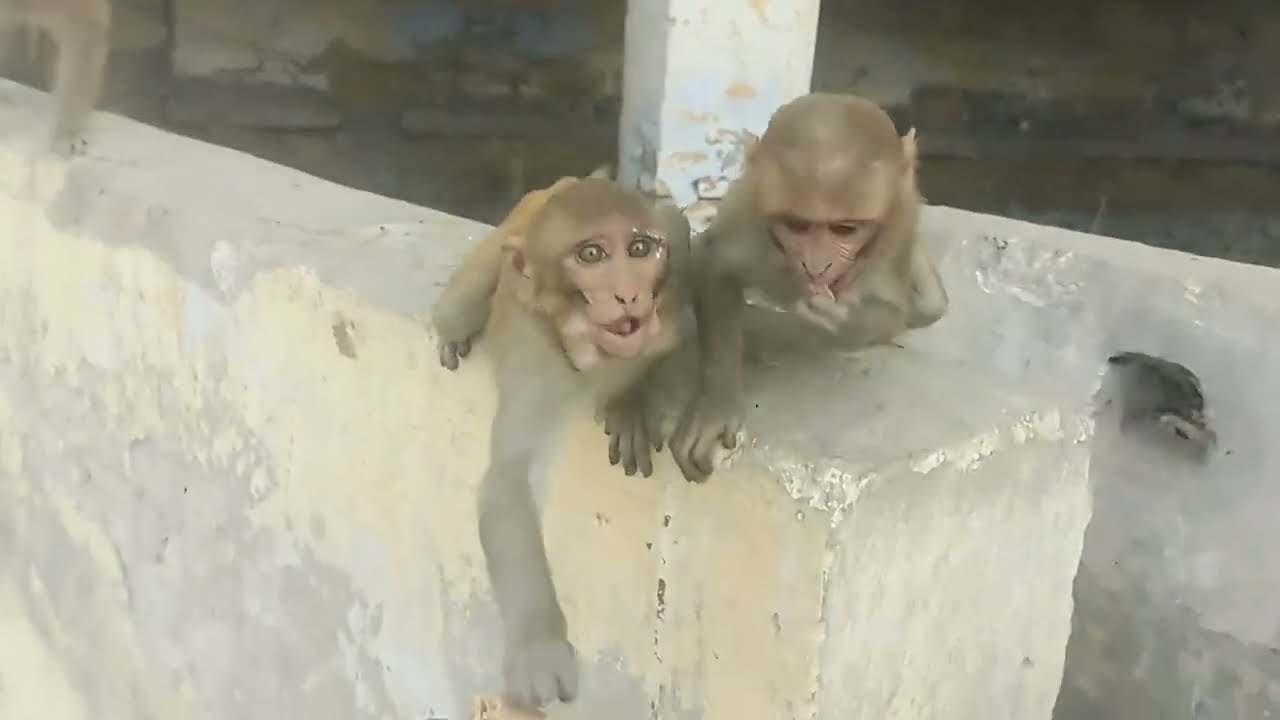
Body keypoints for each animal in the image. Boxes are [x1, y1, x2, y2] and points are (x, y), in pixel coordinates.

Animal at [430, 176, 691, 710]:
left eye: (639, 249)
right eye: (591, 254)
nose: (629, 293)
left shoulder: (674, 296)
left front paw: (632, 401)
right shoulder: (538, 365)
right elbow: (507, 482)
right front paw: (539, 648)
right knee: (456, 309)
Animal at [667, 92, 949, 483]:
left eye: (844, 229)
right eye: (798, 226)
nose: (816, 266)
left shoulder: (897, 229)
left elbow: (893, 311)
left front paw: (847, 323)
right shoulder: (752, 216)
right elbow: (714, 263)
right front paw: (716, 402)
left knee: (928, 306)